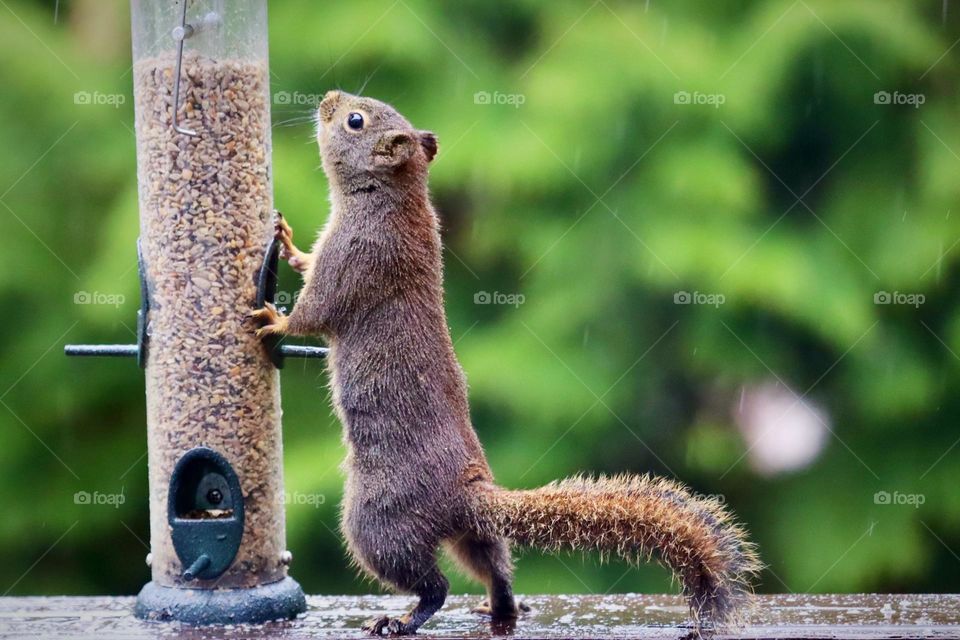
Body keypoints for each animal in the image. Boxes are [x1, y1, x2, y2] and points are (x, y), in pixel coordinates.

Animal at [250, 90, 761, 636]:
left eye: (355, 120)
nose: (328, 99)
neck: (391, 200)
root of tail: (465, 494)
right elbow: (308, 266)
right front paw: (289, 242)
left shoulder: (357, 259)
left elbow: (315, 312)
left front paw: (273, 319)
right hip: (467, 533)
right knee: (494, 566)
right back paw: (498, 609)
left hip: (376, 524)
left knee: (433, 585)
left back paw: (405, 619)